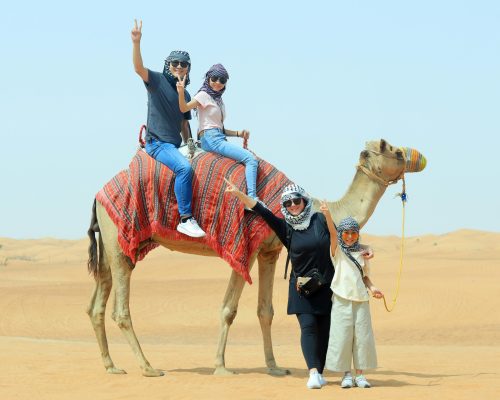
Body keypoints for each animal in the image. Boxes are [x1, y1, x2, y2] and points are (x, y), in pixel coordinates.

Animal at [86, 138, 426, 376]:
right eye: (393, 150)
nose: (420, 157)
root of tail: (98, 196)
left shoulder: (269, 251)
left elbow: (266, 311)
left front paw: (274, 366)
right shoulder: (244, 249)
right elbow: (229, 309)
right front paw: (221, 366)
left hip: (111, 245)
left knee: (96, 305)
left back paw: (111, 365)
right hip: (120, 242)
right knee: (120, 308)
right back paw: (148, 367)